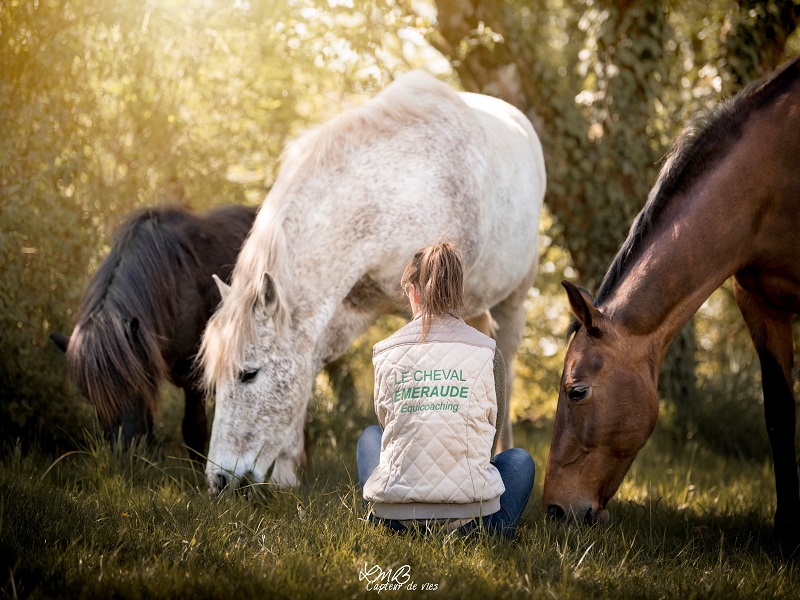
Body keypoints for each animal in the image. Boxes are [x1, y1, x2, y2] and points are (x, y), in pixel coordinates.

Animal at [52, 203, 257, 457]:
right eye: (88, 395)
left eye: (133, 385)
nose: (122, 453)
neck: (174, 282)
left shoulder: (193, 377)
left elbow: (195, 431)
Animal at [198, 70, 546, 493]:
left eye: (248, 373)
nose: (218, 480)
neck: (397, 191)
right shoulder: (346, 309)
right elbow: (309, 368)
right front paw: (286, 472)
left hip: (515, 299)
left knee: (507, 364)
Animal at [543, 56, 800, 541]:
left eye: (576, 391)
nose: (554, 512)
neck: (773, 177)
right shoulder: (757, 301)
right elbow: (780, 411)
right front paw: (787, 527)